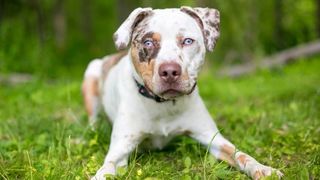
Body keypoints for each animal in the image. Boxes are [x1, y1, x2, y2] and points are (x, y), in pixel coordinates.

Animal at [82, 6, 282, 179]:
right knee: (93, 120)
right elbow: (106, 168)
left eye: (187, 41)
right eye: (148, 42)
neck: (163, 104)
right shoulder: (119, 151)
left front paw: (263, 169)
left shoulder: (213, 138)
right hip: (91, 72)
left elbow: (241, 155)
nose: (169, 71)